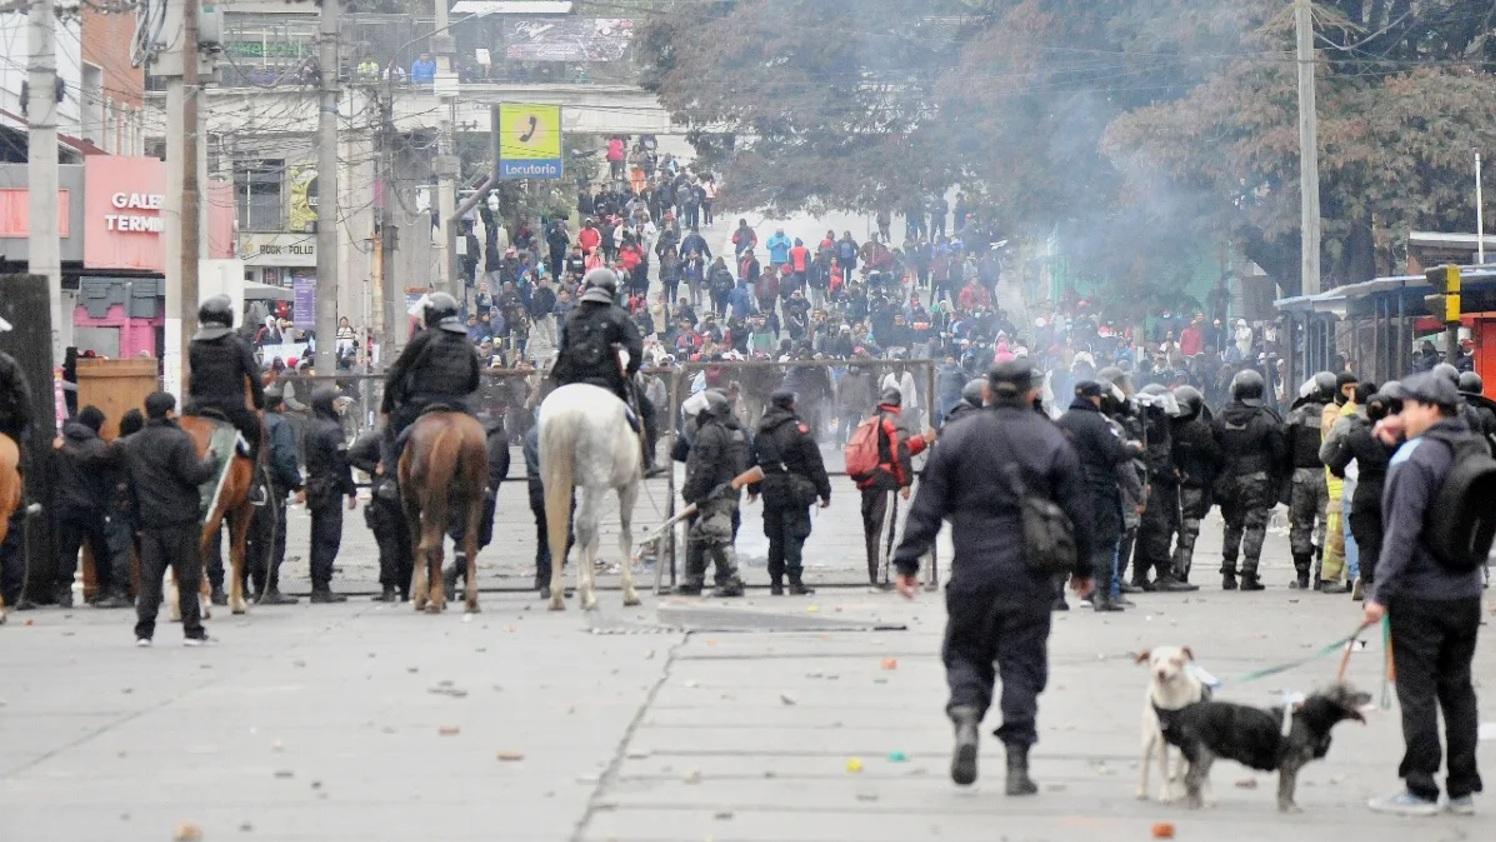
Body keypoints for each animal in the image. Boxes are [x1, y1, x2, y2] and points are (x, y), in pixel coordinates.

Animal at [171, 415, 258, 619]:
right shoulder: (244, 507)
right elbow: (238, 551)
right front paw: (237, 602)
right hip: (213, 512)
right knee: (198, 550)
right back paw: (203, 603)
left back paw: (179, 606)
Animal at [400, 412, 487, 616]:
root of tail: (452, 427)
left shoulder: (409, 504)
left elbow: (417, 546)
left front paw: (422, 597)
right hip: (474, 497)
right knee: (470, 542)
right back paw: (471, 601)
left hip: (430, 499)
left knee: (433, 545)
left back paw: (434, 601)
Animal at [538, 382, 643, 613]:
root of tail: (566, 413)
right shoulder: (629, 485)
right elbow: (625, 535)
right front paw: (629, 591)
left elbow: (593, 540)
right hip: (598, 483)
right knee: (584, 525)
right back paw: (586, 596)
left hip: (553, 478)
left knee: (559, 529)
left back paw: (557, 595)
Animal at [1136, 649, 1208, 801]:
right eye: (1155, 660)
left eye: (1174, 660)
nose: (1161, 672)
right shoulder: (1162, 742)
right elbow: (1164, 770)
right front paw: (1166, 794)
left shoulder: (1188, 742)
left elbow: (1182, 767)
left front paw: (1182, 788)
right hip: (1147, 738)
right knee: (1144, 764)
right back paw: (1142, 790)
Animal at [1160, 687, 1370, 813]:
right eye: (1350, 693)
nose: (1370, 695)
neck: (1310, 717)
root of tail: (1181, 713)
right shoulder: (1289, 765)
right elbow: (1288, 787)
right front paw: (1288, 807)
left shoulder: (1289, 768)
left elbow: (1287, 788)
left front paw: (1288, 805)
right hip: (1203, 756)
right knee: (1191, 779)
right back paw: (1196, 803)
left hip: (1203, 757)